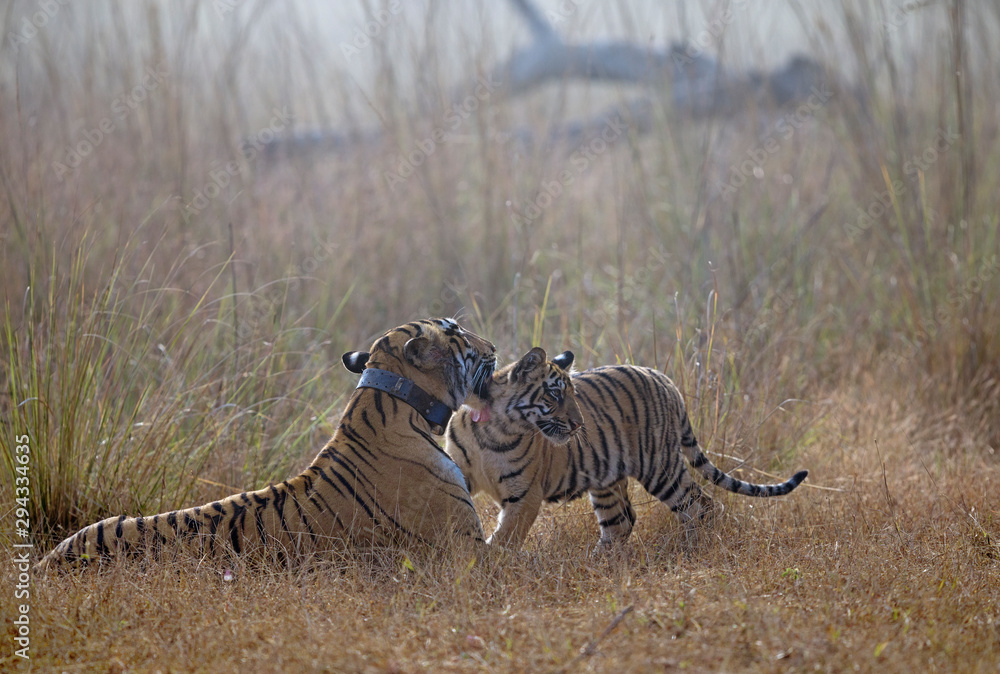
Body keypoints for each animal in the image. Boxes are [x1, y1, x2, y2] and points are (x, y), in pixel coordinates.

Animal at [445, 349, 808, 548]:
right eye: (555, 394)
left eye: (572, 394)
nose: (578, 424)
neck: (494, 428)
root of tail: (666, 381)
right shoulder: (461, 470)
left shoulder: (525, 495)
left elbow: (506, 536)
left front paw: (492, 563)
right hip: (607, 479)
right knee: (621, 521)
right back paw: (598, 563)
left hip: (661, 467)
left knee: (701, 504)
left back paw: (694, 548)